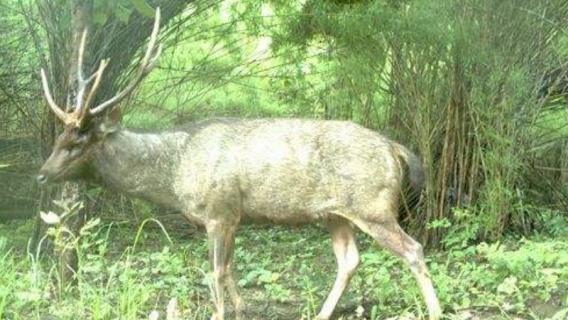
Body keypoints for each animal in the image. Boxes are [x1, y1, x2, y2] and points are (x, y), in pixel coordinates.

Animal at [36, 7, 444, 320]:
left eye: (78, 141)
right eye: (58, 138)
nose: (42, 174)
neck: (174, 176)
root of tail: (396, 149)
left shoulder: (219, 211)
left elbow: (215, 272)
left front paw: (221, 312)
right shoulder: (226, 217)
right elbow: (229, 269)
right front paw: (242, 307)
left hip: (373, 206)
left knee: (412, 249)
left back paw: (435, 310)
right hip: (337, 213)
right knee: (349, 260)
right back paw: (322, 313)